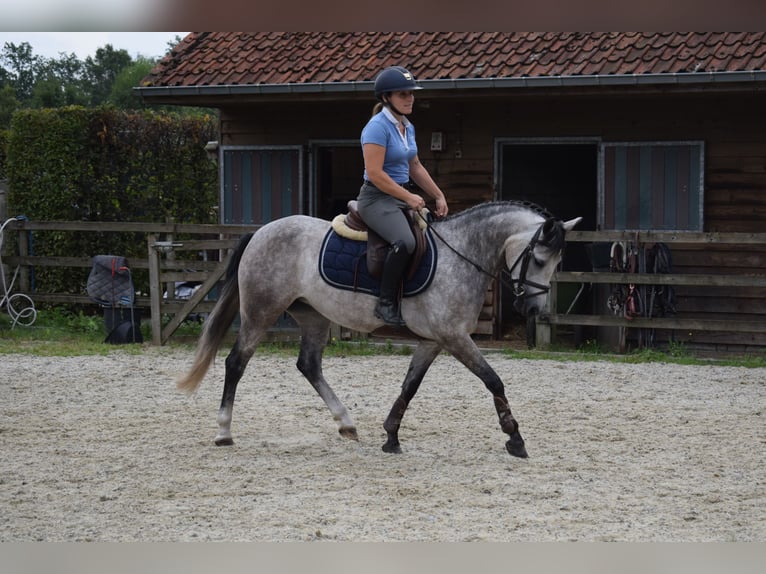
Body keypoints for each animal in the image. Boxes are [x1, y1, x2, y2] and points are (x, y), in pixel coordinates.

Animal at [176, 202, 584, 460]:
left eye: (557, 262)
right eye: (539, 259)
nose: (533, 310)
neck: (462, 254)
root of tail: (261, 232)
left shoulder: (434, 341)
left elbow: (409, 387)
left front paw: (390, 436)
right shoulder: (454, 337)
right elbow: (493, 380)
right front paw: (515, 437)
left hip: (313, 317)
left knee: (308, 365)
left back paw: (346, 424)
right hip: (261, 313)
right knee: (236, 363)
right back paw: (224, 431)